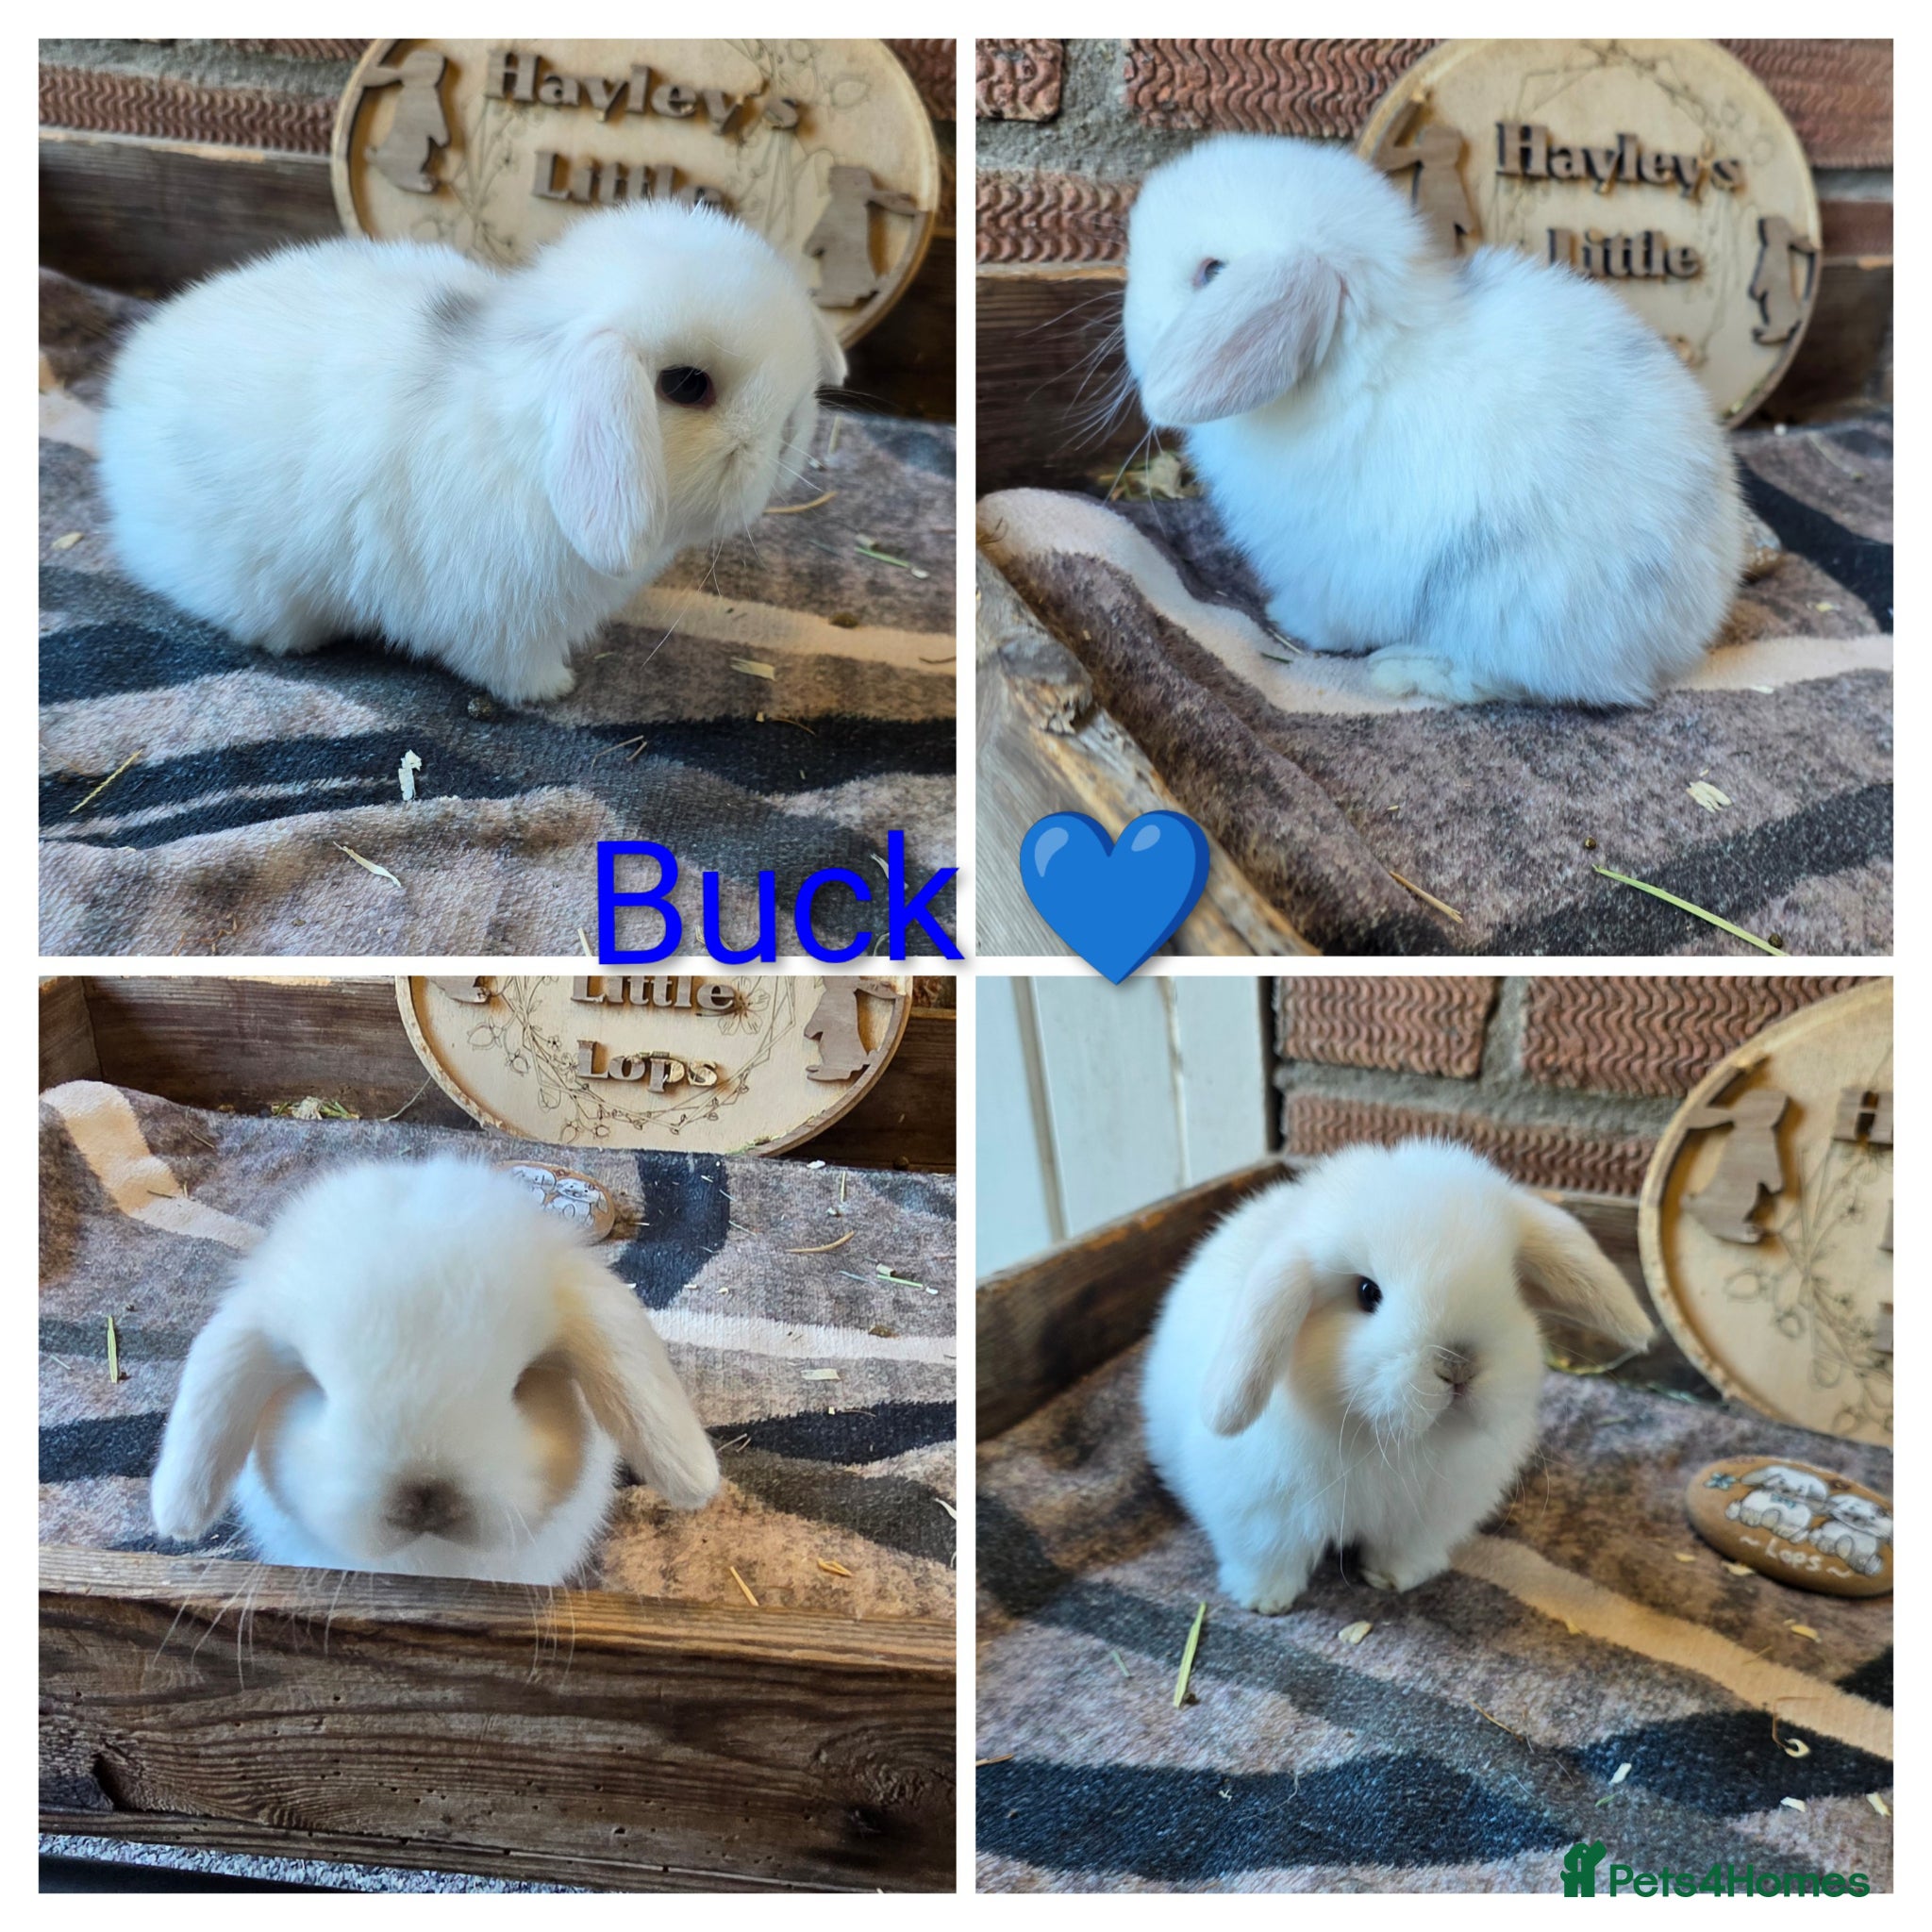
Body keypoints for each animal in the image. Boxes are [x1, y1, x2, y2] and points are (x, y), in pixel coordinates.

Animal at [98, 200, 846, 704]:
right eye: (687, 386)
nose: (790, 436)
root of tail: (123, 396)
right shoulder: (503, 619)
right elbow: (510, 666)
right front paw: (553, 689)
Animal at [1121, 135, 1747, 707]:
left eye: (1211, 272)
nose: (1130, 320)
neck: (1364, 367)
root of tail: (1686, 633)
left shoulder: (1331, 568)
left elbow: (1328, 616)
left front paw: (1287, 617)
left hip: (1508, 606)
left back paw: (1408, 670)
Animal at [1141, 1139, 1655, 1614]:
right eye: (1367, 1292)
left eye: (1510, 1285)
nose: (1458, 1365)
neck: (1390, 1443)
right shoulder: (1259, 1511)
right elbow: (1267, 1557)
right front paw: (1264, 1601)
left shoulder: (1428, 1517)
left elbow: (1404, 1550)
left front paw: (1395, 1579)